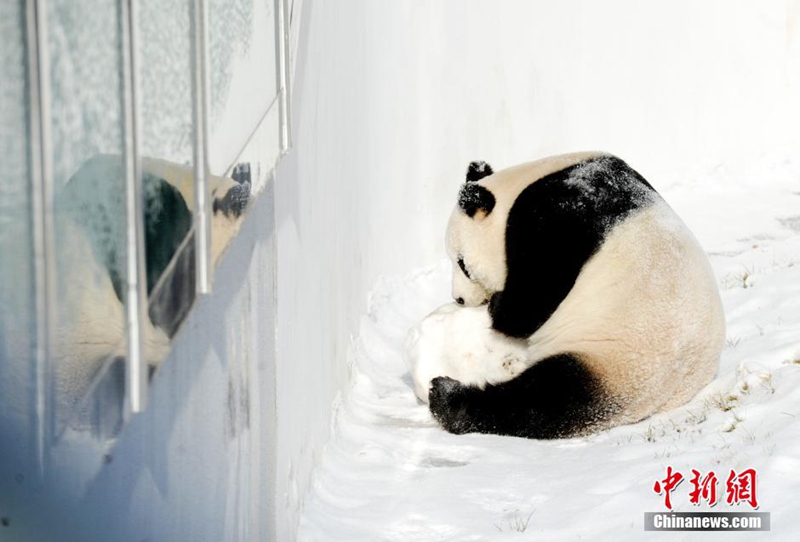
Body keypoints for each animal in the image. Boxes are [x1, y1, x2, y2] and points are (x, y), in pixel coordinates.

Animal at [406, 152, 724, 442]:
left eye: (463, 264)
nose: (460, 299)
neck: (519, 186)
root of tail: (667, 396)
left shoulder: (557, 215)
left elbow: (533, 297)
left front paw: (498, 309)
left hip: (611, 354)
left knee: (543, 401)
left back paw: (447, 397)